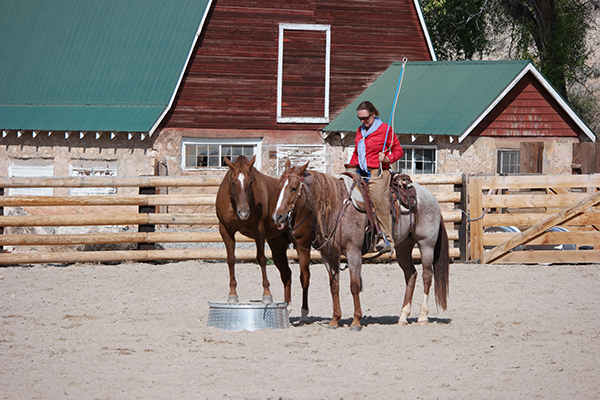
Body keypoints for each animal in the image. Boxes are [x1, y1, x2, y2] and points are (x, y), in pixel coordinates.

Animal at [214, 155, 314, 320]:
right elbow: (231, 259)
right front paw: (232, 294)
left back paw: (304, 313)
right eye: (233, 182)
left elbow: (261, 259)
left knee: (304, 276)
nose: (243, 213)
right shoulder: (225, 230)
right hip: (278, 246)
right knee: (287, 274)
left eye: (251, 182)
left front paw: (266, 294)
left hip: (302, 245)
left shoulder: (258, 230)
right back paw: (288, 307)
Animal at [274, 161, 450, 330]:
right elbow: (334, 286)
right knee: (411, 275)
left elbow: (354, 285)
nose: (278, 217)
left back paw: (423, 316)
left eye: (294, 188)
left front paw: (356, 321)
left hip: (426, 244)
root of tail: (432, 198)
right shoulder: (328, 255)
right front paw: (334, 320)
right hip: (403, 247)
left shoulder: (354, 252)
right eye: (279, 185)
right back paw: (403, 317)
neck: (337, 206)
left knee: (427, 276)